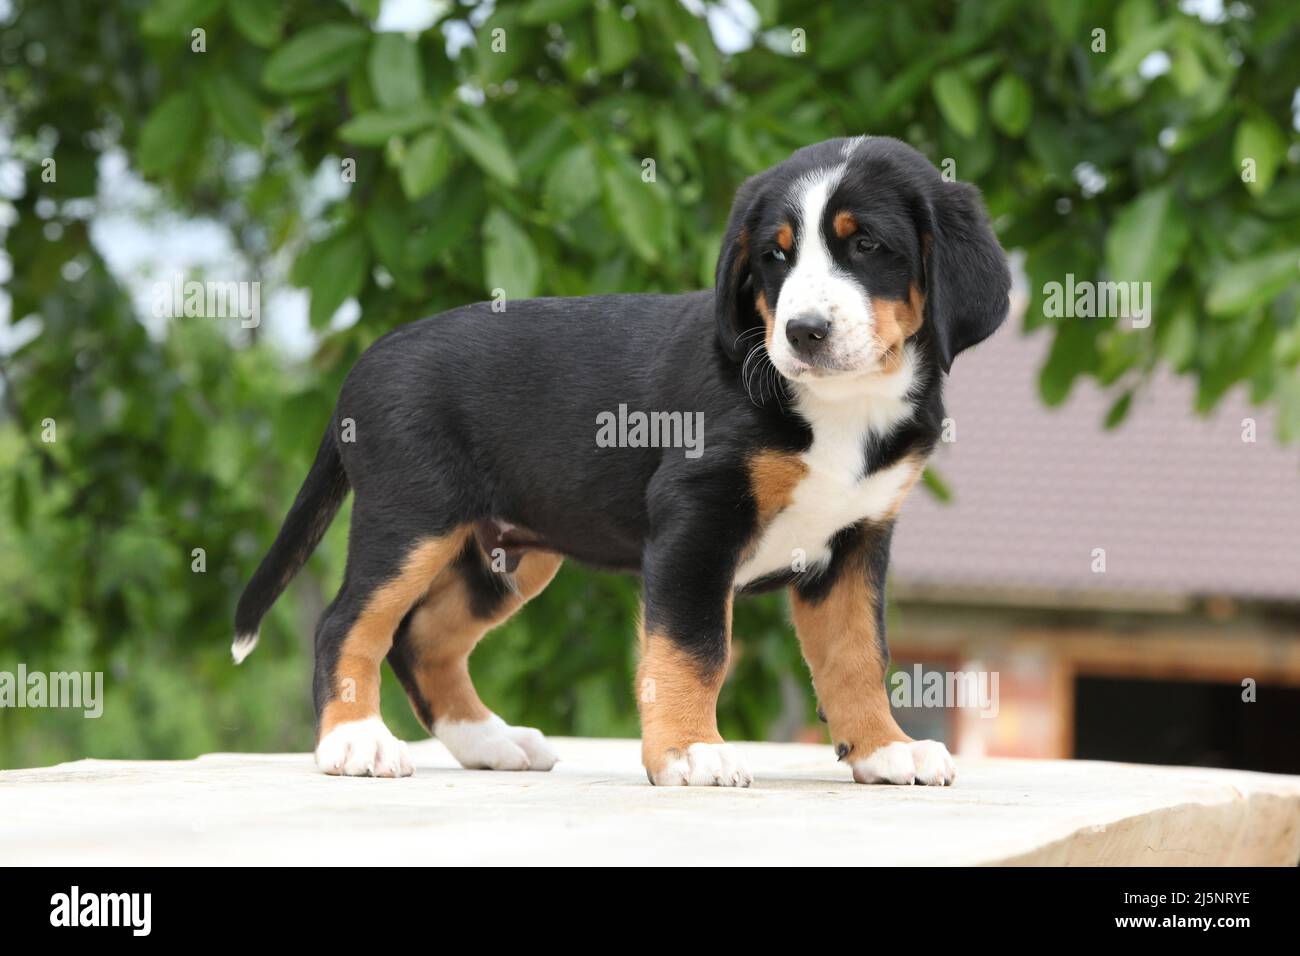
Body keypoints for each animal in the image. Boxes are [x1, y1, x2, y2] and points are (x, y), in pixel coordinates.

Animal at [233, 138, 1008, 790]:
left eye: (867, 245)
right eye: (775, 258)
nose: (803, 331)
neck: (842, 408)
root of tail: (367, 361)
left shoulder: (855, 541)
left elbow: (858, 655)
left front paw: (885, 749)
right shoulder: (697, 518)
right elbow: (692, 648)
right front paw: (692, 751)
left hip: (505, 556)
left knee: (423, 642)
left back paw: (492, 742)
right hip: (411, 521)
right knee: (348, 623)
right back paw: (355, 741)